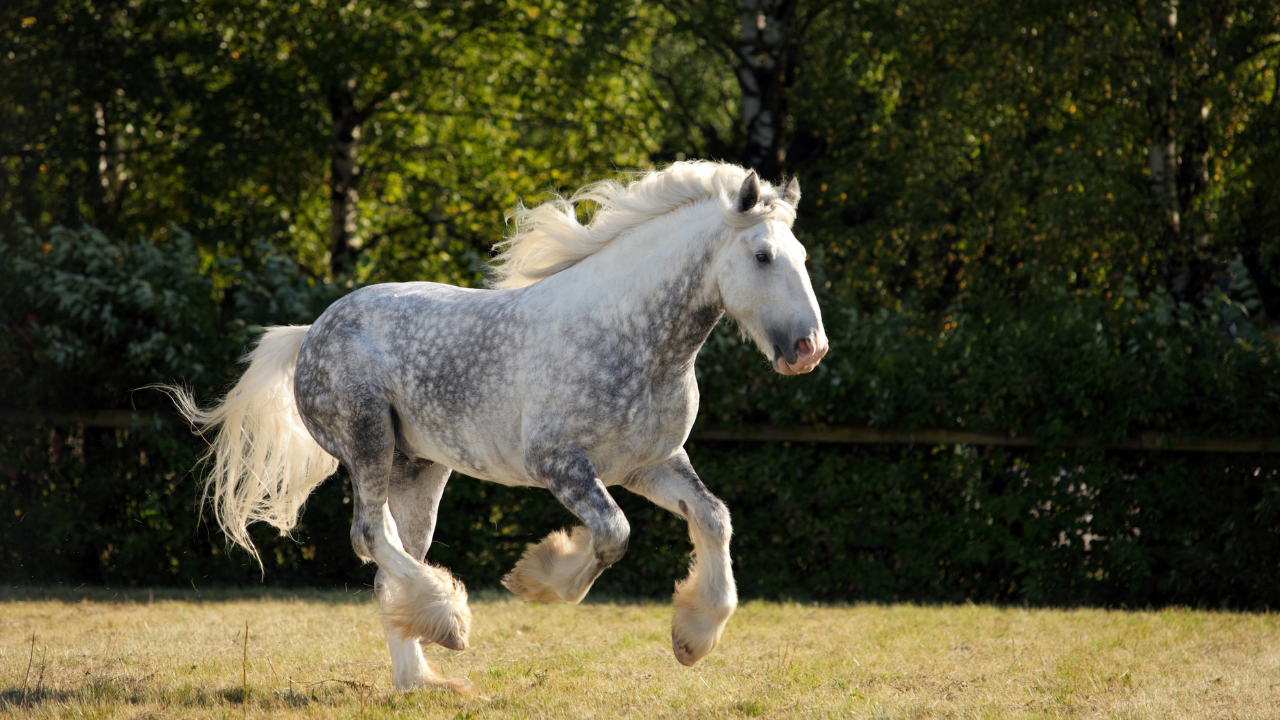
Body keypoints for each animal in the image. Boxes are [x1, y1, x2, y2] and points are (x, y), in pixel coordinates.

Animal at [167, 159, 829, 686]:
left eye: (801, 256)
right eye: (763, 256)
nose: (809, 349)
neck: (632, 336)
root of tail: (311, 332)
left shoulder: (649, 464)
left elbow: (714, 519)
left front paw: (692, 638)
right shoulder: (561, 464)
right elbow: (613, 534)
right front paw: (538, 579)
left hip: (419, 469)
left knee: (391, 565)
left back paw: (422, 681)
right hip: (368, 444)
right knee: (370, 538)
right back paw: (450, 626)